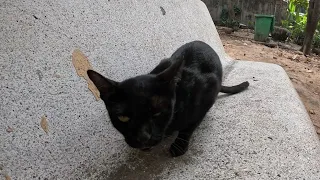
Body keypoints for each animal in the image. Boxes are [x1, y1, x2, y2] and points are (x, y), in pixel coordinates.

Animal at [87, 40, 250, 156]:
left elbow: (191, 125)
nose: (143, 137)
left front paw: (179, 145)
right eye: (123, 118)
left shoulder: (209, 91)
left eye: (157, 112)